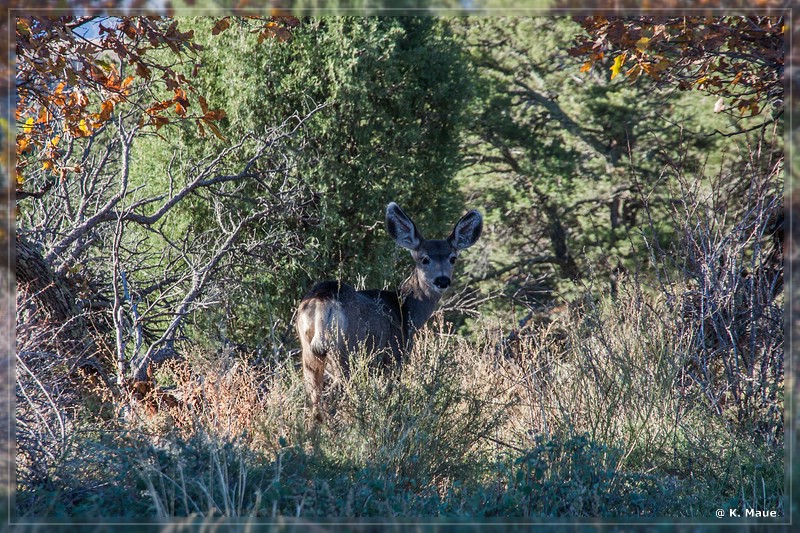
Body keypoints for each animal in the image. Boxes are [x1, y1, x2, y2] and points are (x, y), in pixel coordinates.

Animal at [294, 202, 482, 422]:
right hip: (347, 354)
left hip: (310, 354)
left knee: (315, 406)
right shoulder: (394, 359)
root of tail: (323, 299)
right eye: (424, 259)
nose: (442, 280)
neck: (404, 310)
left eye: (452, 258)